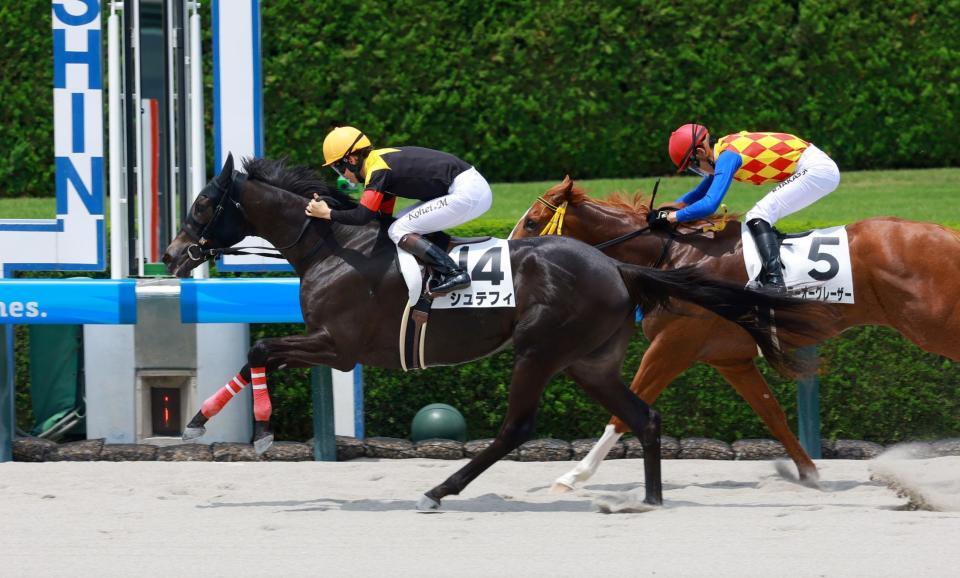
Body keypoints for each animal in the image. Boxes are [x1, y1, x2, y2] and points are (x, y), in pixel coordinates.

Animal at [162, 154, 831, 510]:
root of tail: (614, 264)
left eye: (202, 206)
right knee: (643, 416)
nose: (170, 255)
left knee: (518, 426)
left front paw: (249, 427)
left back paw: (440, 488)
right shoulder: (330, 345)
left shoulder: (340, 347)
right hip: (588, 361)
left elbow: (260, 346)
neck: (332, 245)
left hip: (539, 349)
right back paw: (649, 498)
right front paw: (202, 422)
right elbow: (258, 350)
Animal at [511, 176, 960, 492]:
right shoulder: (730, 359)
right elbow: (772, 414)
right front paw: (808, 473)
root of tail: (948, 233)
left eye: (531, 221)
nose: (508, 256)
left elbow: (624, 411)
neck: (673, 258)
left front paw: (574, 476)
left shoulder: (671, 346)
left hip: (934, 325)